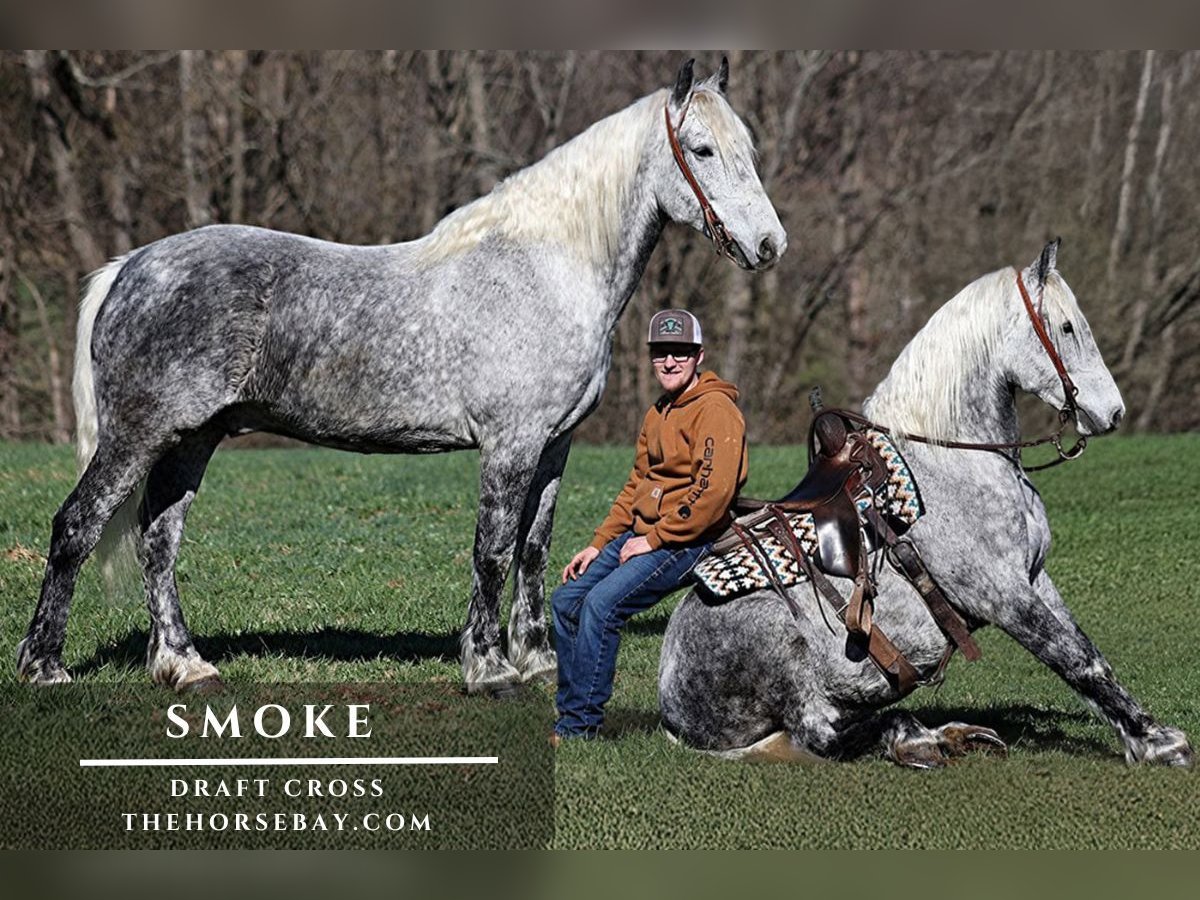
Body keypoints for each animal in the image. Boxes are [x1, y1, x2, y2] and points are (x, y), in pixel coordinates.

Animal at [17, 58, 787, 695]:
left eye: (748, 151)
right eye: (702, 150)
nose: (769, 245)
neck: (544, 269)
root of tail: (131, 267)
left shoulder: (554, 444)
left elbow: (534, 550)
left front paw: (538, 659)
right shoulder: (510, 444)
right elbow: (492, 550)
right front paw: (489, 668)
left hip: (191, 439)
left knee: (158, 543)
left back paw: (184, 664)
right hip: (140, 434)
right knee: (77, 525)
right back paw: (45, 667)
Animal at [659, 241, 1193, 767]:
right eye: (1066, 327)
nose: (1112, 412)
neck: (954, 458)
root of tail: (672, 707)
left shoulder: (1036, 578)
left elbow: (1083, 649)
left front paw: (1140, 734)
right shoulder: (1002, 594)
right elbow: (1077, 659)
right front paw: (1159, 741)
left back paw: (955, 734)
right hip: (789, 665)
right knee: (822, 735)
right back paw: (921, 738)